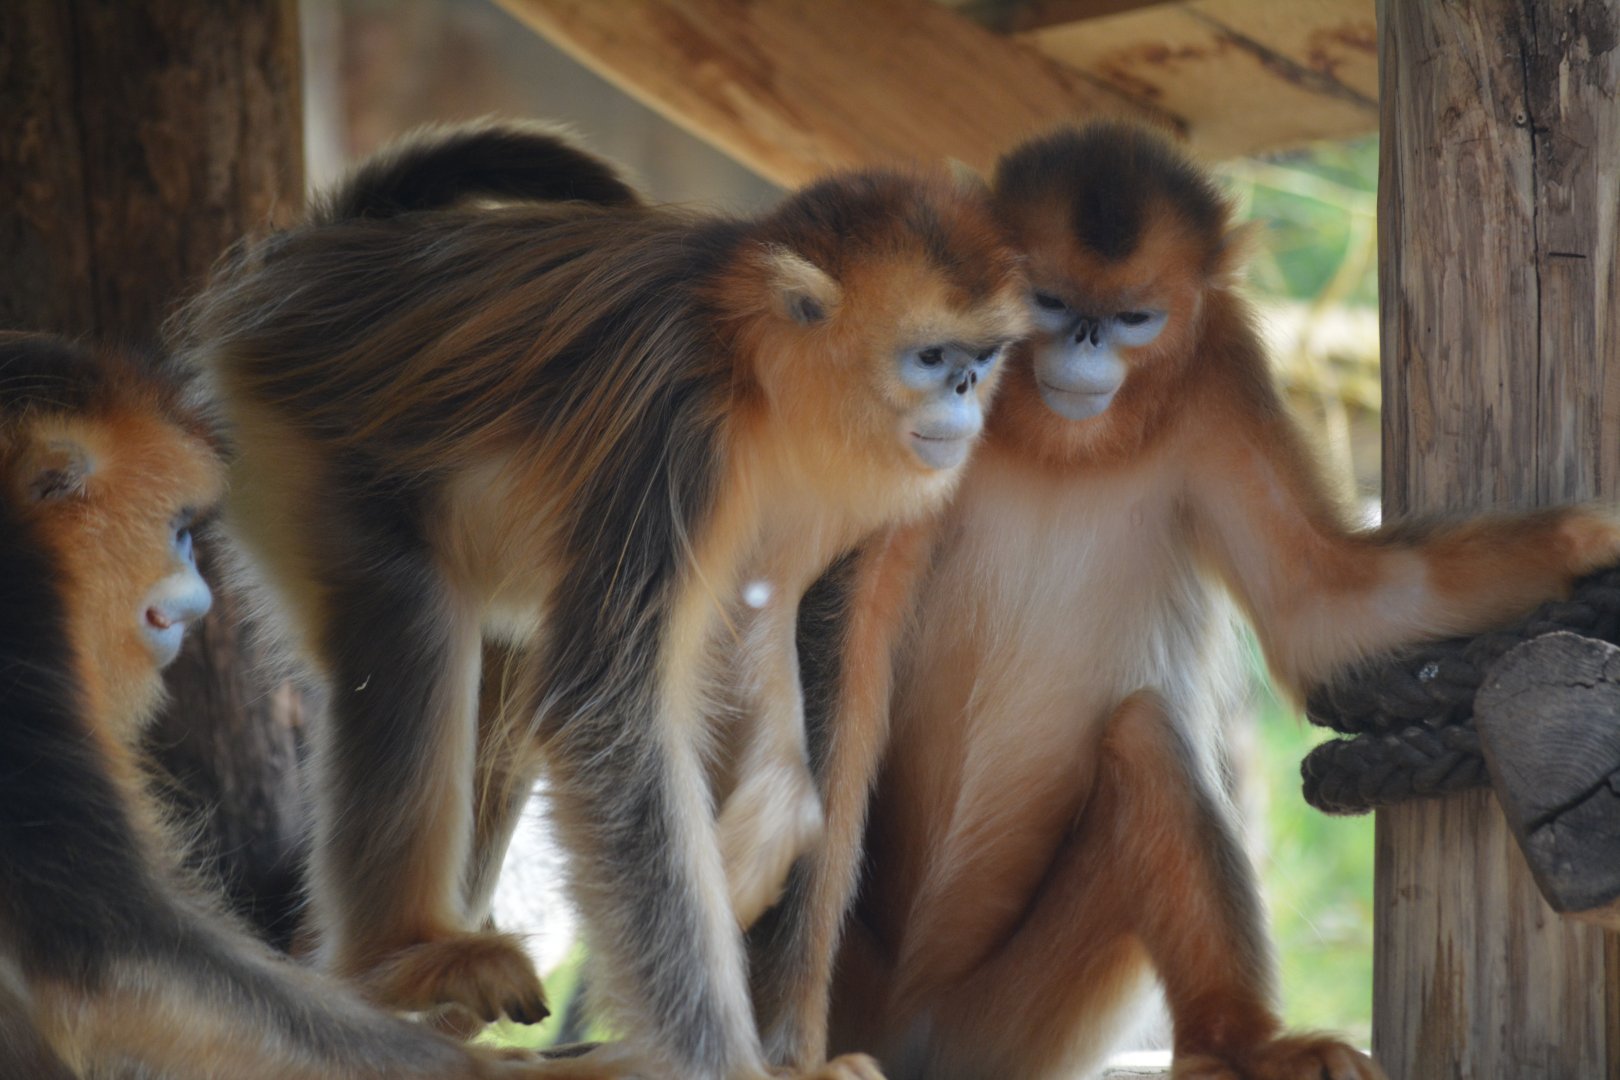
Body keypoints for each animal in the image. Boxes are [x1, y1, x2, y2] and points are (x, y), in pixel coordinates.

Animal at [177, 122, 1029, 1079]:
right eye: (932, 358)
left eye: (983, 358)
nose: (966, 393)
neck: (749, 373)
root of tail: (311, 263)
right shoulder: (677, 428)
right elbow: (607, 716)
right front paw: (721, 1061)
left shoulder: (822, 500)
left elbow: (760, 652)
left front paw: (768, 840)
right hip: (290, 442)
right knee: (412, 611)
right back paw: (399, 961)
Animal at [824, 121, 1620, 1080]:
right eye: (1049, 302)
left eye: (1133, 318)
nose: (1084, 343)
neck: (1059, 446)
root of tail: (906, 1030)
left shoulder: (1219, 374)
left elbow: (1323, 601)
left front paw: (1589, 542)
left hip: (1006, 1029)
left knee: (1145, 731)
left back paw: (1236, 1041)